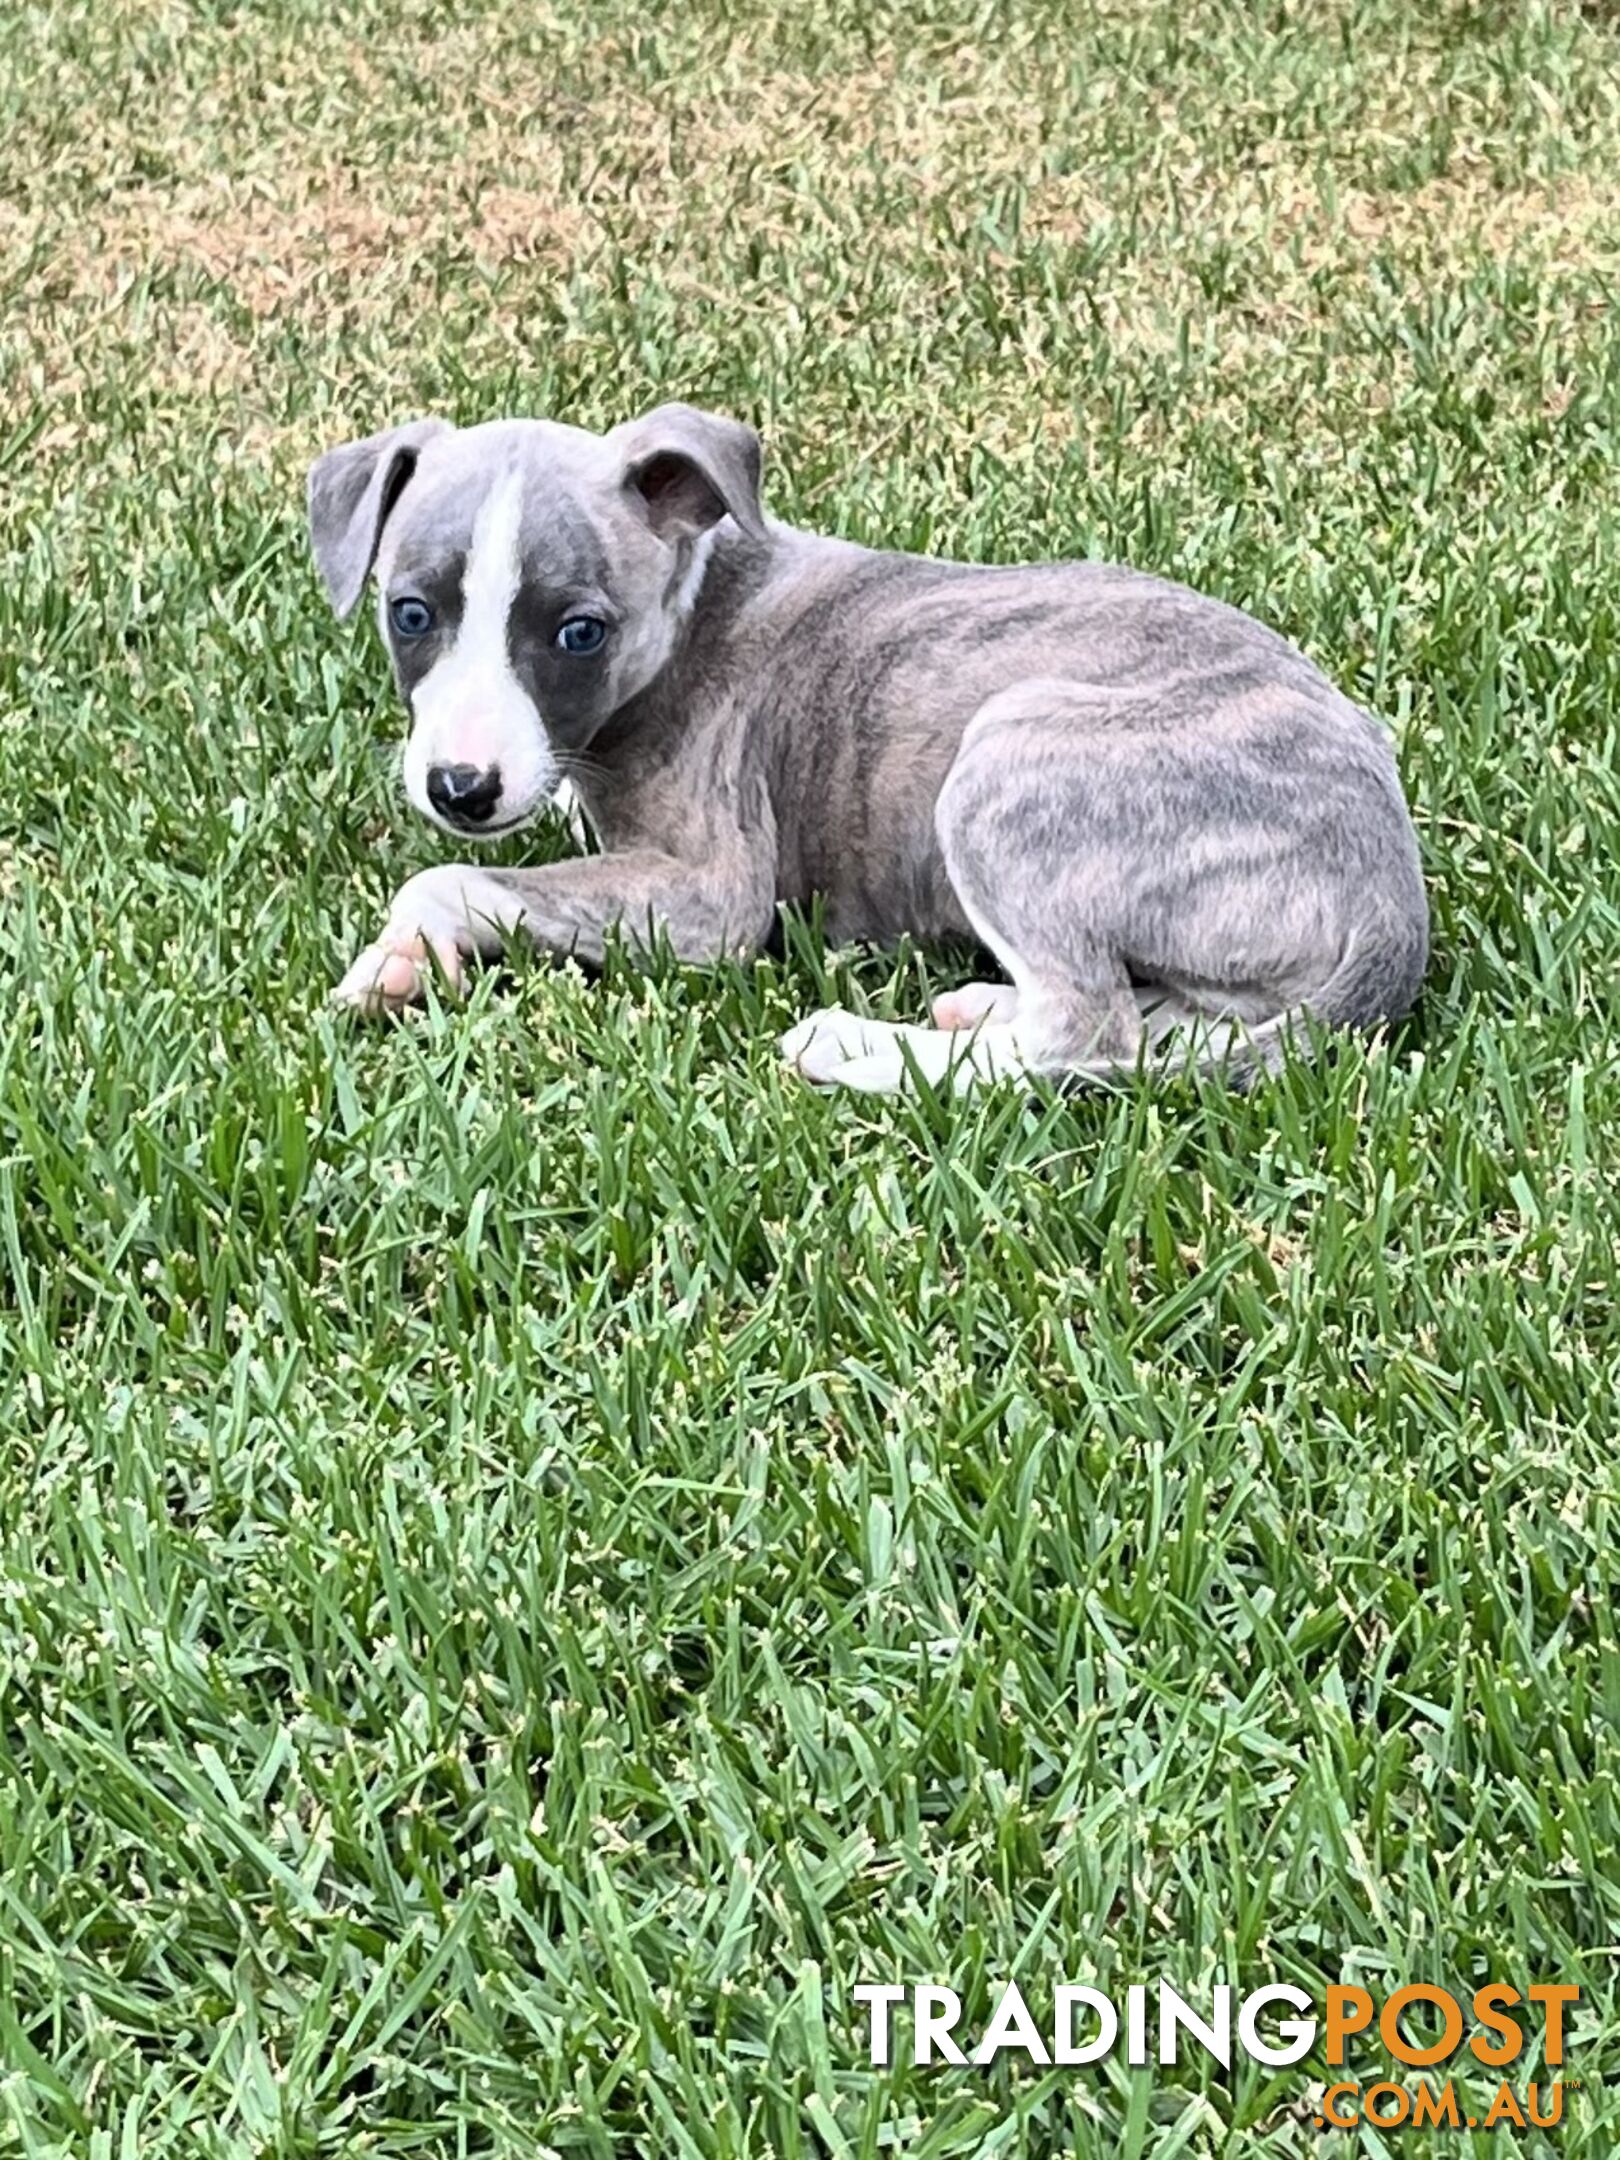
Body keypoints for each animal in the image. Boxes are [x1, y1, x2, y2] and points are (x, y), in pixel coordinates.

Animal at [311, 401, 1425, 1097]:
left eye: (579, 631)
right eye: (410, 614)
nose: (461, 787)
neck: (692, 612)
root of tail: (1395, 907)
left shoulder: (711, 897)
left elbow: (448, 877)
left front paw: (404, 953)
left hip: (1005, 765)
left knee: (1084, 1034)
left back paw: (861, 1051)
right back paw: (982, 1006)